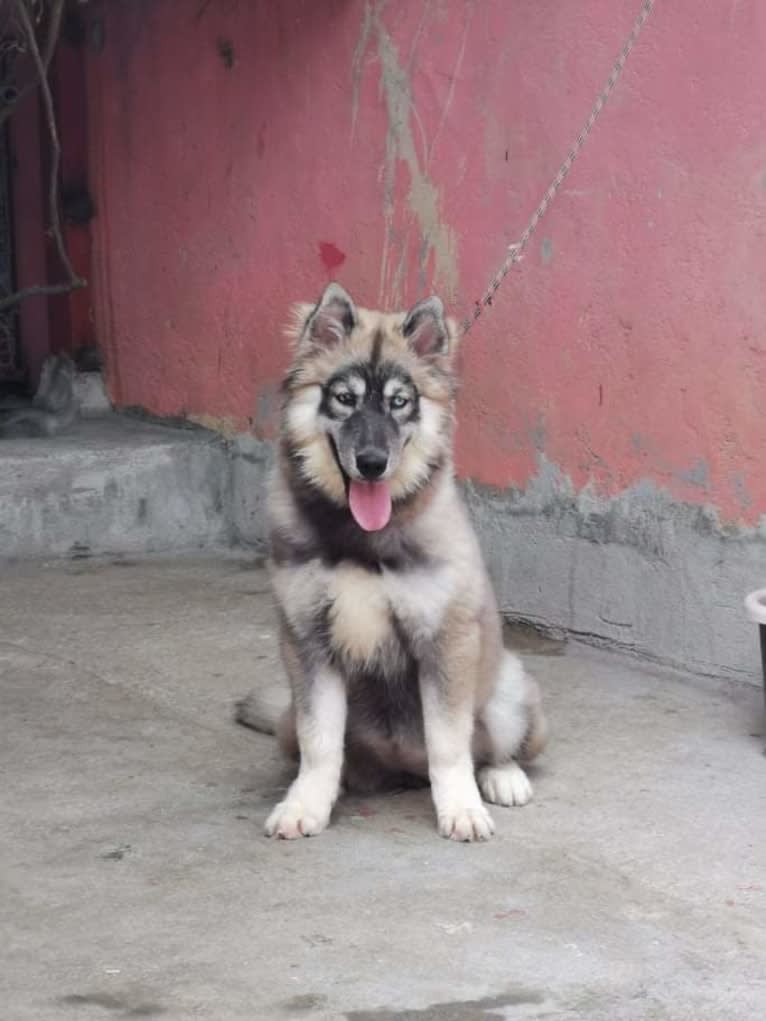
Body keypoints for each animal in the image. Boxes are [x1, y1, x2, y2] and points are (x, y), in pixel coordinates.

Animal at [236, 283, 547, 841]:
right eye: (344, 399)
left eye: (401, 403)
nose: (373, 464)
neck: (362, 538)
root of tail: (403, 769)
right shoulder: (308, 642)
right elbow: (320, 742)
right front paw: (305, 804)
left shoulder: (445, 640)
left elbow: (450, 743)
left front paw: (461, 808)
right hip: (289, 720)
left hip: (509, 691)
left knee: (490, 746)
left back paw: (503, 776)